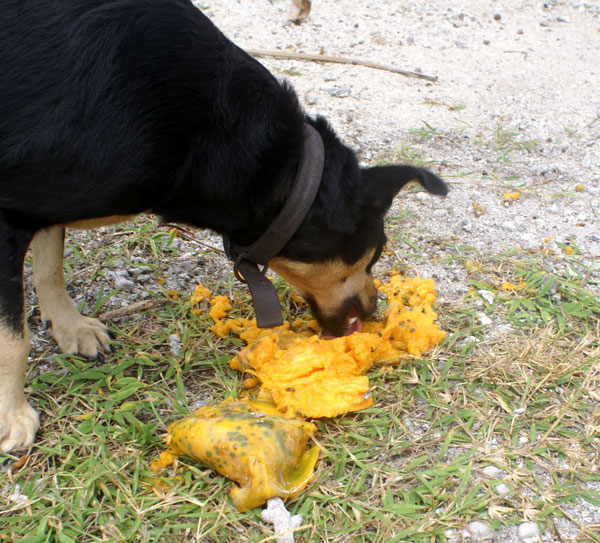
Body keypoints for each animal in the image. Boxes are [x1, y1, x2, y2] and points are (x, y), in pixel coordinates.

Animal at [0, 0, 446, 454]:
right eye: (375, 252)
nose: (373, 311)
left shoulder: (42, 199)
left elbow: (50, 264)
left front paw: (69, 326)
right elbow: (13, 338)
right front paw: (12, 418)